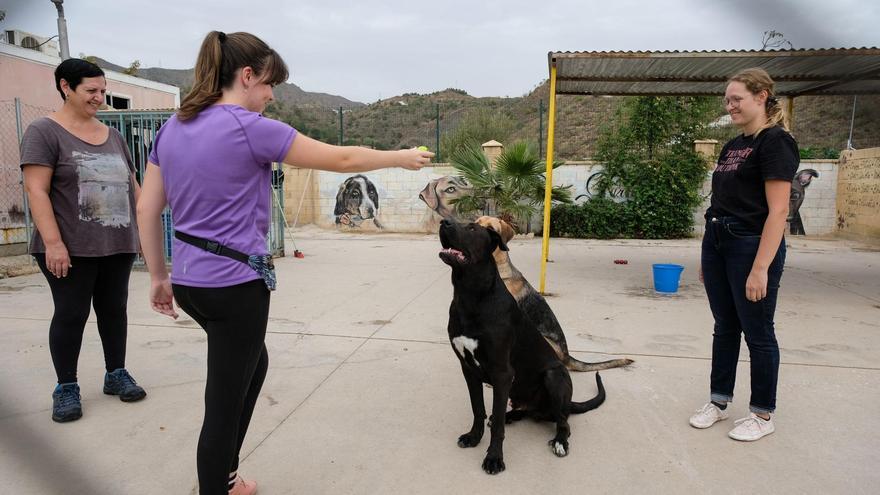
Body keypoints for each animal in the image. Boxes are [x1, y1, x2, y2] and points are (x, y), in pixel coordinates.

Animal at [440, 219, 604, 474]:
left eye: (472, 229)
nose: (443, 221)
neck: (471, 295)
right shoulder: (468, 370)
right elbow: (478, 409)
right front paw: (474, 437)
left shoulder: (502, 373)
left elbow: (496, 425)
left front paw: (494, 458)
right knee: (525, 411)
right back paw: (512, 415)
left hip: (554, 376)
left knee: (564, 423)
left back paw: (559, 441)